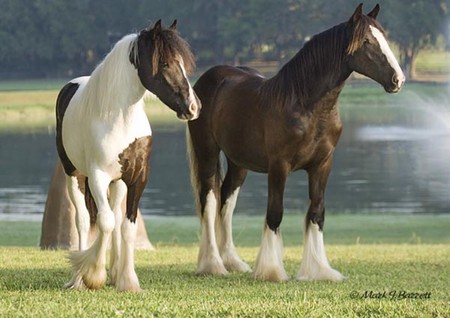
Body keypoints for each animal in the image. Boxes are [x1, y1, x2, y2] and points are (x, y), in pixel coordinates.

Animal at [56, 19, 200, 292]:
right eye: (164, 63)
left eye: (182, 63)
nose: (194, 107)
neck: (119, 118)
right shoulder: (98, 176)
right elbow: (105, 222)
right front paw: (93, 274)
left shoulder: (137, 177)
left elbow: (126, 226)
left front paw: (128, 280)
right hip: (74, 175)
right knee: (83, 220)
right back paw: (77, 278)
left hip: (118, 182)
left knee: (114, 215)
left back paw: (113, 272)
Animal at [186, 3, 404, 282]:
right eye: (366, 41)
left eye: (383, 37)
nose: (398, 80)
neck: (305, 105)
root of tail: (207, 80)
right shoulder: (279, 166)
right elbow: (275, 213)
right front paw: (271, 270)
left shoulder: (322, 165)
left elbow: (317, 213)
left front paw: (319, 270)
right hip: (207, 153)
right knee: (210, 200)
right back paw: (213, 264)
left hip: (239, 162)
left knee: (226, 200)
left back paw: (232, 262)